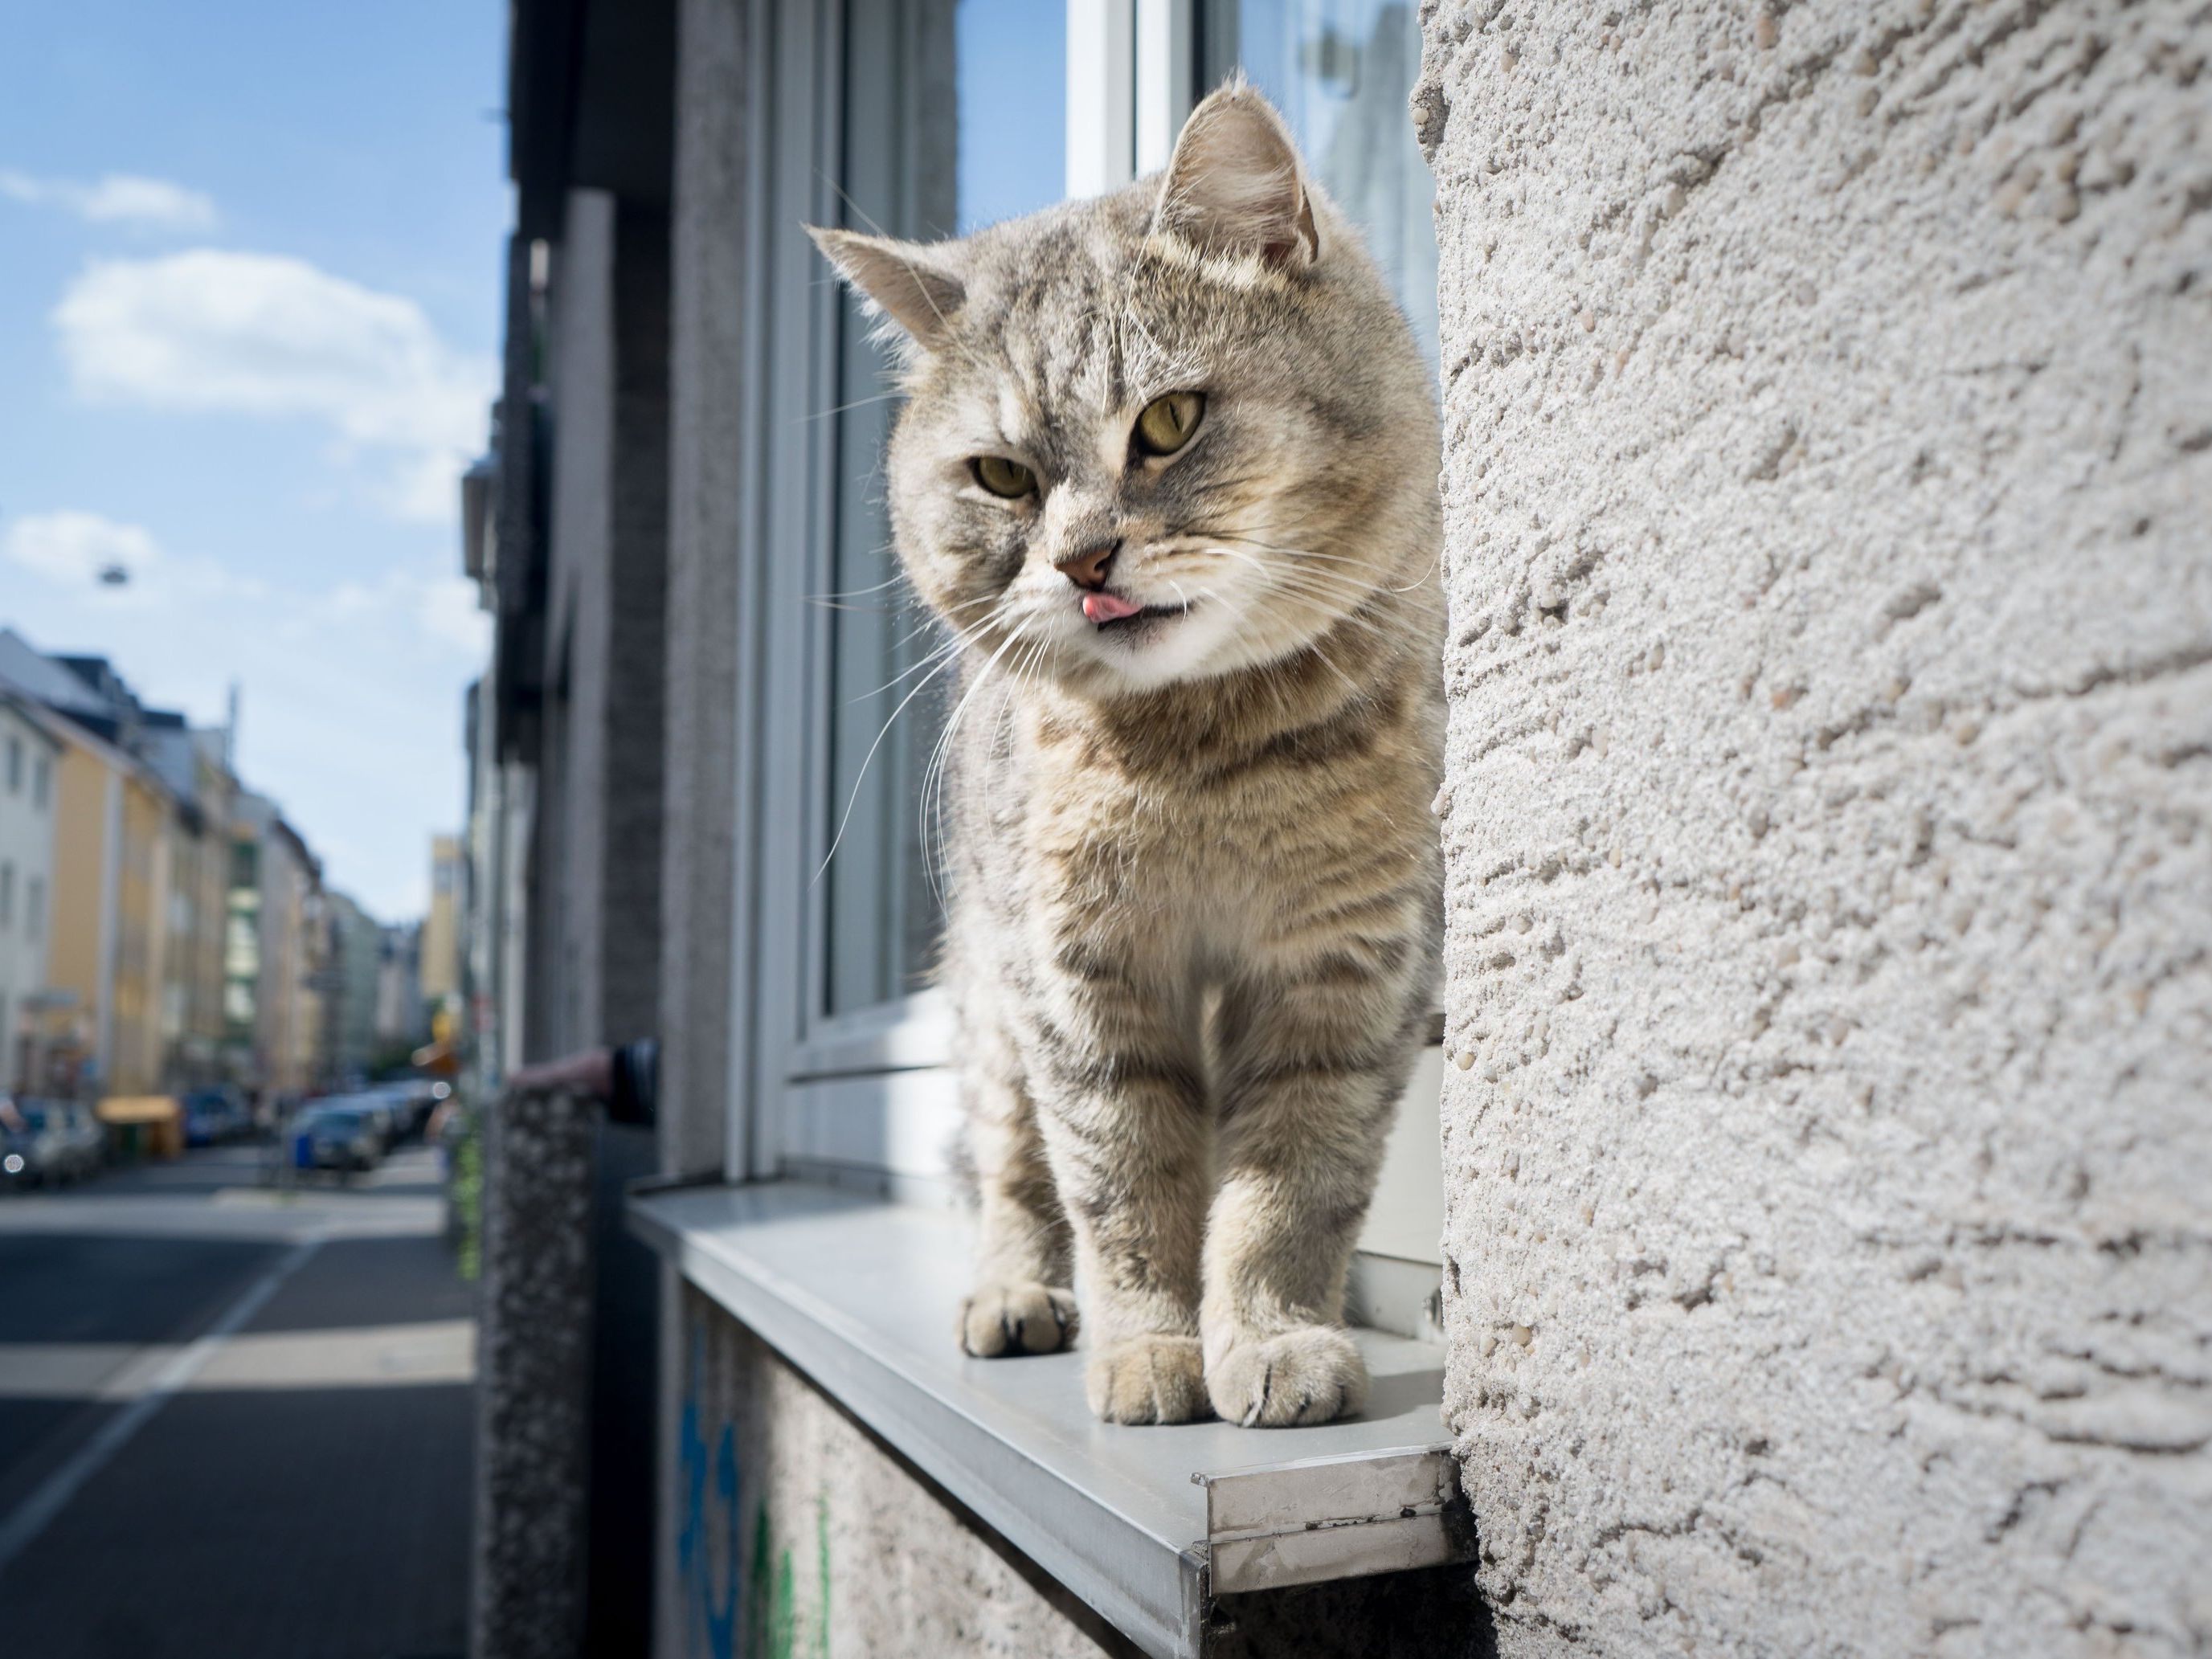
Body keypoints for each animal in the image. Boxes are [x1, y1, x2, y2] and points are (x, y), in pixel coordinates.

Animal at [805, 81, 1441, 1433]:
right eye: (1001, 476)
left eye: (1168, 422)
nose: (1082, 558)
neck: (1205, 760)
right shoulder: (1080, 986)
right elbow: (1125, 1182)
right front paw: (1151, 1346)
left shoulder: (1347, 973)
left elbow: (1289, 1186)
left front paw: (1270, 1334)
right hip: (987, 993)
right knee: (1011, 1166)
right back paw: (1017, 1292)